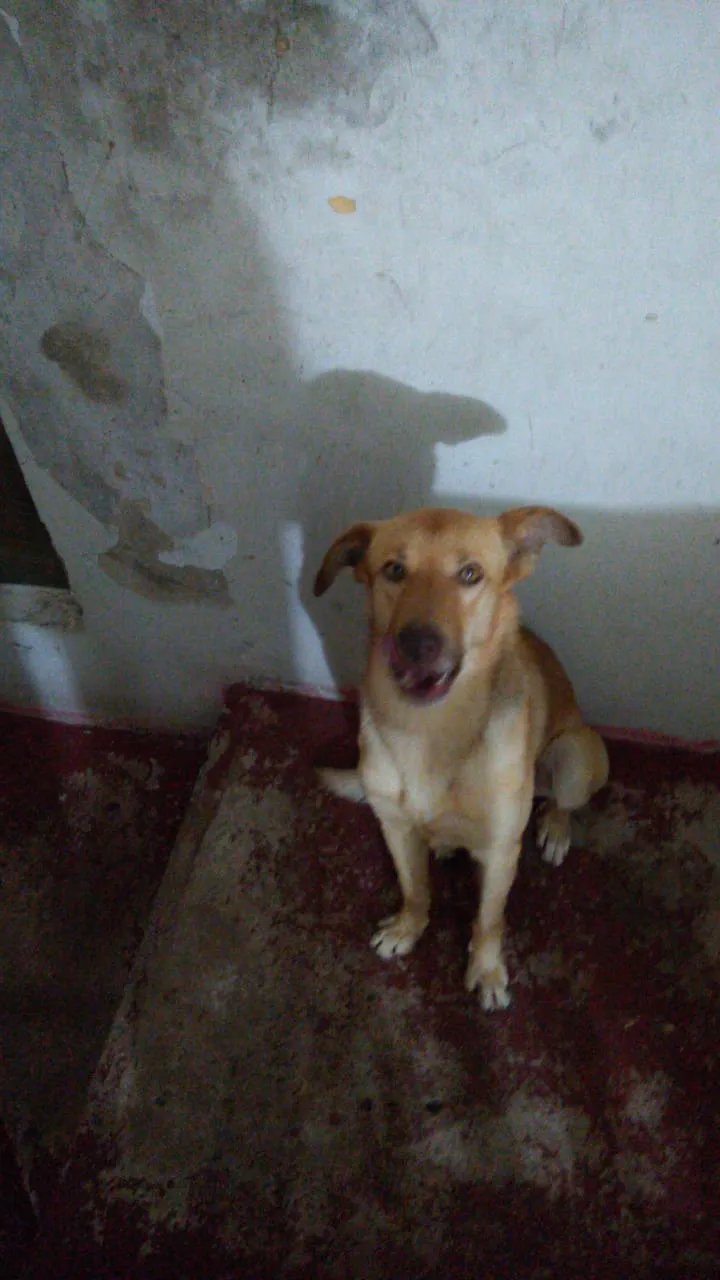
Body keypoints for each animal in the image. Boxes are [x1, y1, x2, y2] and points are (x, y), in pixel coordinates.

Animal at [313, 505, 609, 1010]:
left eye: (470, 574)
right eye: (394, 569)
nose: (417, 644)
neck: (430, 731)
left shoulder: (501, 850)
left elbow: (488, 921)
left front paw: (486, 972)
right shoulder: (395, 827)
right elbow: (415, 889)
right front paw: (407, 930)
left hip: (576, 753)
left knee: (562, 801)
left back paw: (554, 827)